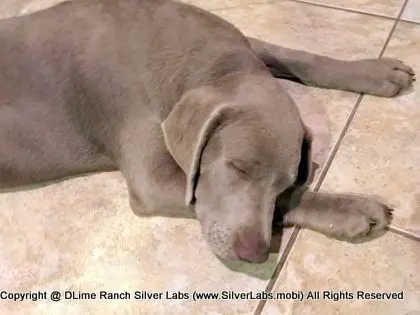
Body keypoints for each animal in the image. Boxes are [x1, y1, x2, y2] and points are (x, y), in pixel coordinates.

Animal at [0, 0, 414, 264]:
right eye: (237, 168)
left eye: (284, 181)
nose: (255, 254)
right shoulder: (154, 178)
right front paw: (352, 209)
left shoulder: (244, 44)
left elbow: (295, 55)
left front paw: (377, 71)